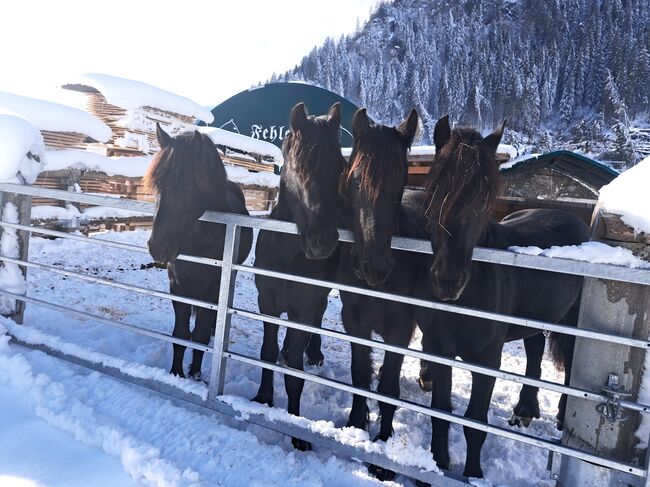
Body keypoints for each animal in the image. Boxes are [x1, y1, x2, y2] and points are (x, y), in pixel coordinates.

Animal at [147, 125, 253, 382]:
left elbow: (201, 336)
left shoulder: (212, 290)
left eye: (192, 186)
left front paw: (195, 375)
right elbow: (181, 334)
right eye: (158, 184)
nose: (158, 247)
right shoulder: (178, 286)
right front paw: (176, 373)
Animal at [416, 117, 588, 480]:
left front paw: (472, 474)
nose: (448, 280)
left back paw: (561, 416)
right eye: (433, 189)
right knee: (535, 349)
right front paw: (438, 463)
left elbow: (474, 423)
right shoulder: (438, 349)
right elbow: (441, 412)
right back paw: (525, 409)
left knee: (569, 360)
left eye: (484, 200)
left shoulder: (486, 361)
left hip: (571, 321)